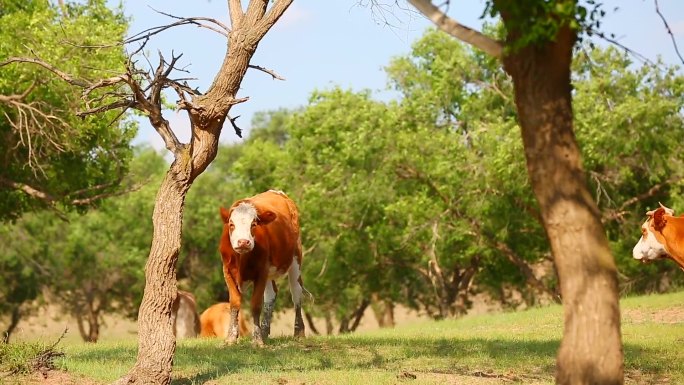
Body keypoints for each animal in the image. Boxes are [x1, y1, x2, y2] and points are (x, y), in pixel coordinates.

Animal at [219, 189, 310, 344]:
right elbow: (235, 303)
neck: (242, 260)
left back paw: (299, 332)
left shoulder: (261, 271)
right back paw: (265, 331)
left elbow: (255, 305)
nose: (243, 242)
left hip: (296, 259)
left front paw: (257, 340)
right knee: (271, 294)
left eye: (254, 224)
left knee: (296, 293)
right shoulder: (227, 271)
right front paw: (231, 338)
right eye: (231, 224)